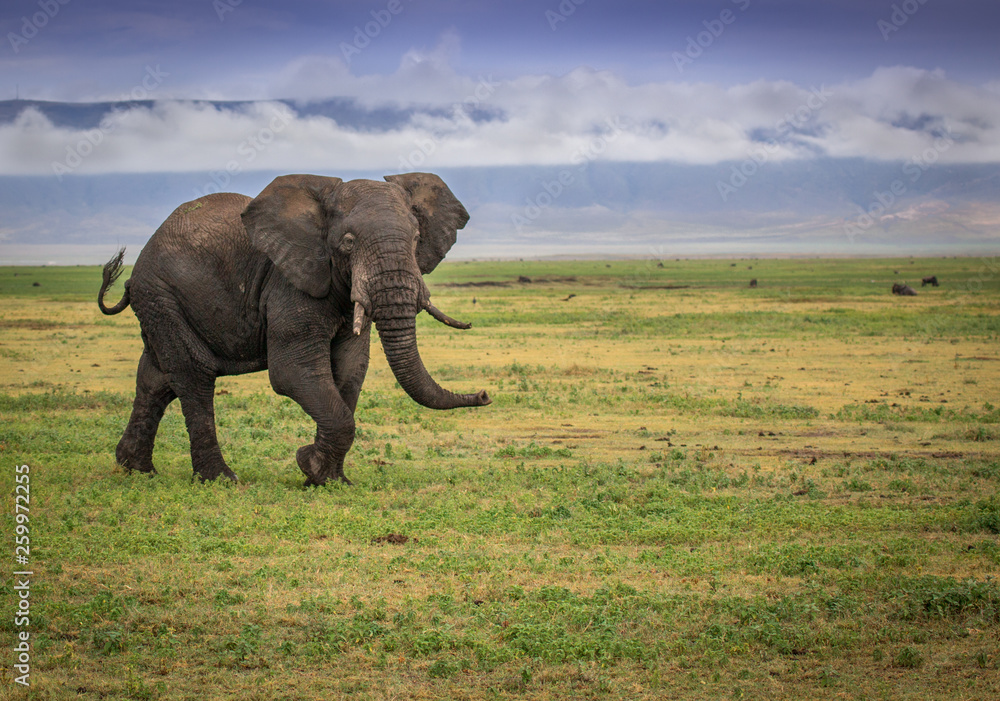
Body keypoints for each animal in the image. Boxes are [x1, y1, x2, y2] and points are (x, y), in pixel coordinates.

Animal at [98, 173, 491, 486]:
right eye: (348, 242)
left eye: (415, 238)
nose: (485, 395)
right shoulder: (289, 283)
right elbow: (293, 372)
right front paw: (312, 467)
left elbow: (349, 371)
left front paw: (327, 477)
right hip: (160, 293)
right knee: (194, 374)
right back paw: (221, 480)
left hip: (161, 303)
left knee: (156, 378)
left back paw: (137, 469)